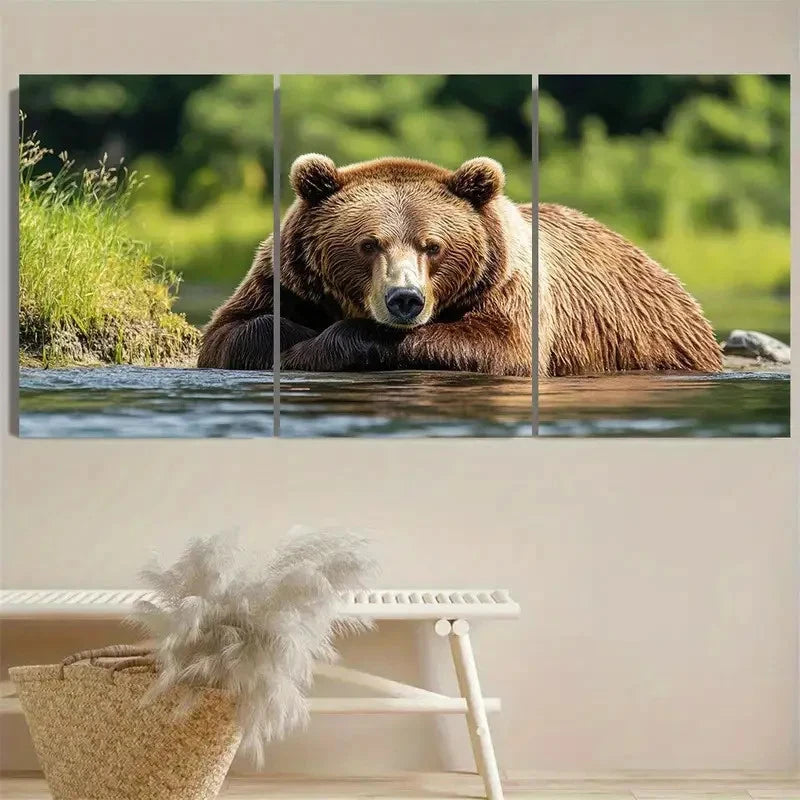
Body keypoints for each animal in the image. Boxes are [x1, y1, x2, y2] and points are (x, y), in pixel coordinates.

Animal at [197, 154, 721, 377]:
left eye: (432, 245)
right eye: (369, 244)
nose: (404, 299)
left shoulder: (507, 285)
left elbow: (500, 346)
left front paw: (320, 346)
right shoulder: (284, 278)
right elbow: (234, 330)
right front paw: (297, 342)